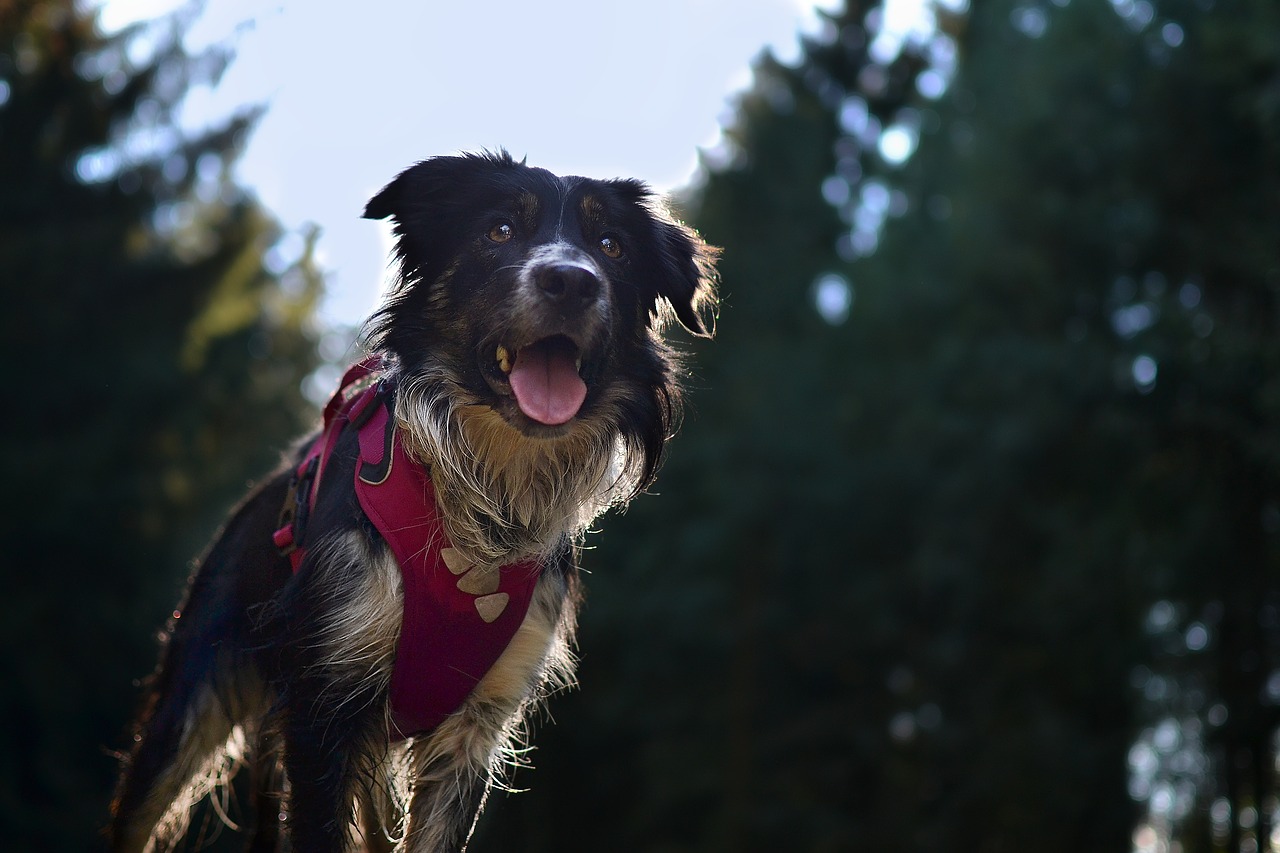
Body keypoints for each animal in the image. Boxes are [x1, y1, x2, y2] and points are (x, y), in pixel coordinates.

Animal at [104, 149, 716, 845]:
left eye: (611, 246)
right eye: (499, 231)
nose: (572, 281)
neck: (487, 496)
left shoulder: (477, 724)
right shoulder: (323, 709)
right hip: (191, 697)